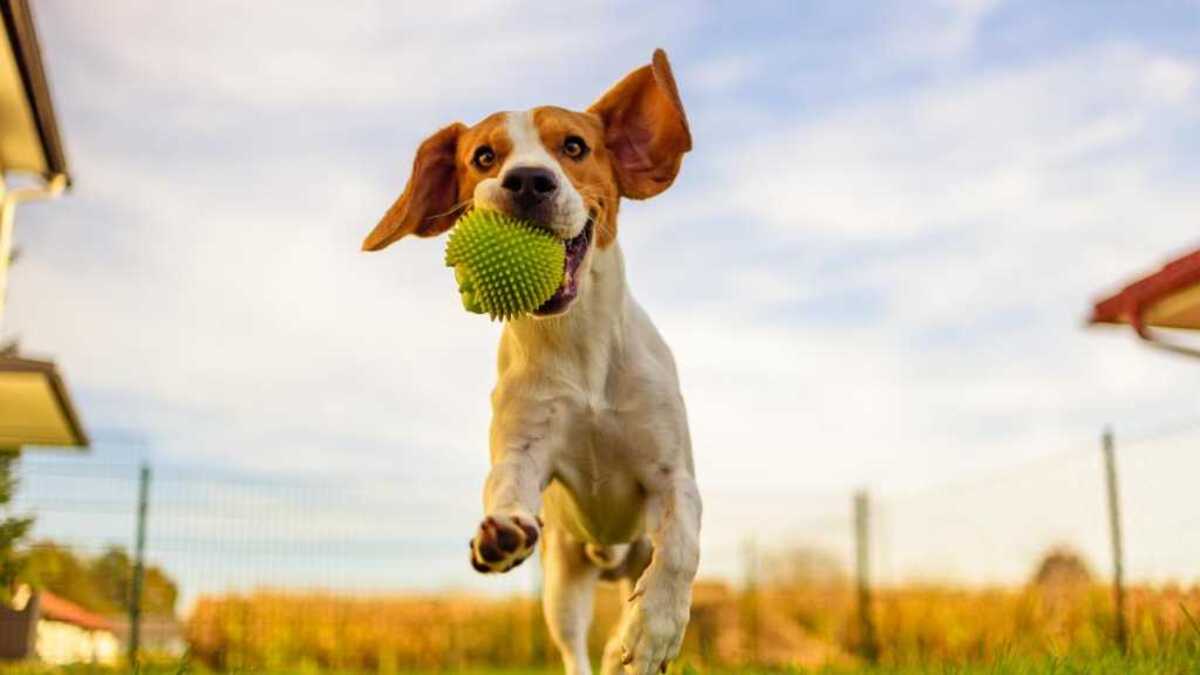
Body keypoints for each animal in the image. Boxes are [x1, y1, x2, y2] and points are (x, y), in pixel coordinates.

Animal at [364, 48, 700, 672]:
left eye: (574, 146)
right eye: (484, 156)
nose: (526, 180)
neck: (578, 346)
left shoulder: (673, 475)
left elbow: (682, 543)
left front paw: (653, 631)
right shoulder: (523, 448)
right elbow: (504, 483)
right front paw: (499, 533)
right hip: (563, 586)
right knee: (574, 650)